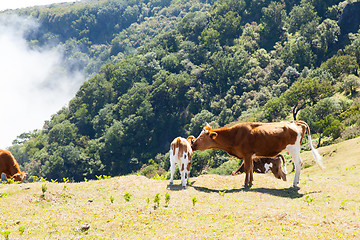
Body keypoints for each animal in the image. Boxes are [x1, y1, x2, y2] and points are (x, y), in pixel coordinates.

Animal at [191, 121, 324, 188]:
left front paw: (245, 183)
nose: (192, 144)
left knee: (298, 164)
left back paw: (294, 183)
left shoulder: (246, 154)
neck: (235, 136)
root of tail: (296, 122)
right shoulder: (250, 155)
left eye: (201, 137)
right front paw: (251, 182)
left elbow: (247, 168)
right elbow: (250, 168)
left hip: (294, 149)